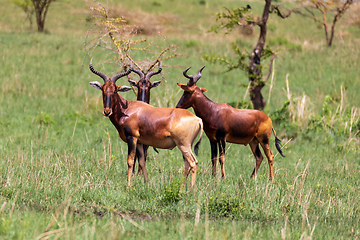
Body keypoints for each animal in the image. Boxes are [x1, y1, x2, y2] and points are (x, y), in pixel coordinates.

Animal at [89, 58, 204, 188]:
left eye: (115, 90)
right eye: (103, 89)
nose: (107, 111)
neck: (129, 109)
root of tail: (197, 119)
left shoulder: (132, 138)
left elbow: (130, 161)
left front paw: (129, 185)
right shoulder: (140, 142)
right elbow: (142, 161)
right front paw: (147, 183)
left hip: (183, 145)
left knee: (193, 162)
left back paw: (191, 188)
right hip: (186, 145)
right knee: (187, 164)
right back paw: (182, 187)